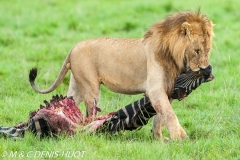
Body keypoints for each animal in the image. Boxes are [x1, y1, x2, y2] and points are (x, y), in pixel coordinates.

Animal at [29, 10, 215, 140]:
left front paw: (159, 139)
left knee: (67, 103)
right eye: (197, 51)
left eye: (208, 50)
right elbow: (169, 114)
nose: (208, 70)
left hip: (77, 87)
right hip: (91, 89)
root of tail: (73, 47)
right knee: (90, 115)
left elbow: (160, 116)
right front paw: (180, 137)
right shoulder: (155, 89)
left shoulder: (167, 90)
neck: (172, 55)